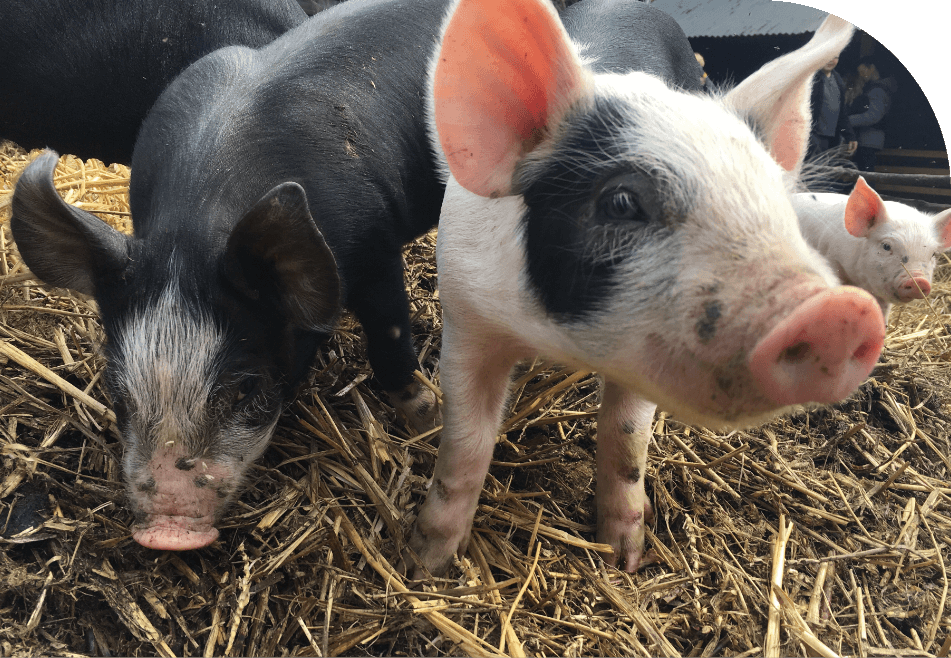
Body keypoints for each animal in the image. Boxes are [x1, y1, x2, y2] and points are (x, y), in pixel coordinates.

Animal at [402, 0, 886, 578]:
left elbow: (626, 438)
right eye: (621, 202)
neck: (558, 341)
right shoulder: (466, 311)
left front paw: (626, 558)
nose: (842, 310)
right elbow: (466, 442)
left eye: (777, 200)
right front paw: (425, 565)